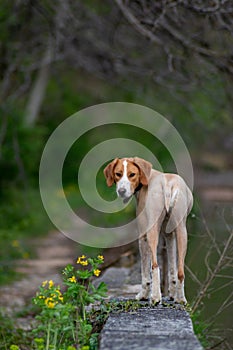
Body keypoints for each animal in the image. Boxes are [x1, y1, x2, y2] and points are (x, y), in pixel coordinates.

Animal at [104, 157, 193, 304]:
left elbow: (145, 272)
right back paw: (180, 299)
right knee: (180, 271)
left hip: (152, 232)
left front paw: (143, 295)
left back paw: (155, 297)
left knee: (155, 266)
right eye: (118, 174)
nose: (121, 191)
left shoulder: (142, 236)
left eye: (132, 174)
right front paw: (172, 294)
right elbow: (172, 269)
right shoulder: (169, 235)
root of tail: (167, 185)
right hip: (182, 232)